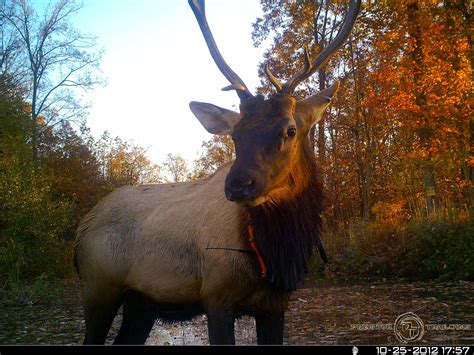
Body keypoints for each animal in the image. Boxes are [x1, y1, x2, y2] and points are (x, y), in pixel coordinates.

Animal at [74, 0, 360, 344]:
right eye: (235, 134)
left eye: (290, 130)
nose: (239, 185)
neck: (274, 257)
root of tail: (82, 227)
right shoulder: (216, 294)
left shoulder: (276, 304)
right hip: (97, 288)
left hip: (142, 303)